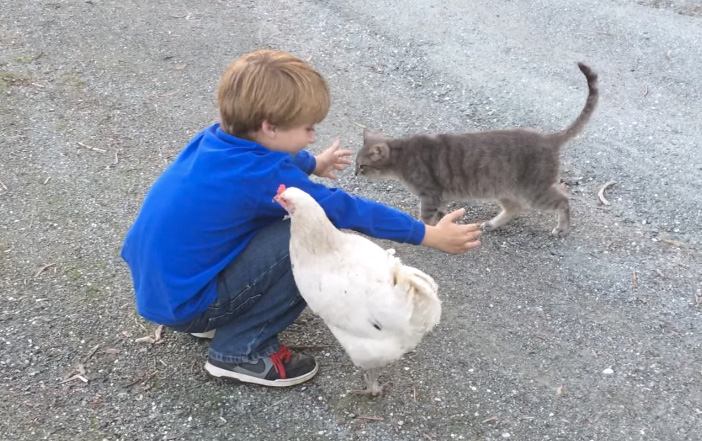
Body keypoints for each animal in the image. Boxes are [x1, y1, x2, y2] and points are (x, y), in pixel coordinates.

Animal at [358, 62, 600, 237]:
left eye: (361, 165)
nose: (354, 173)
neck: (403, 155)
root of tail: (549, 138)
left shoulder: (430, 194)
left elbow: (426, 218)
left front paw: (429, 231)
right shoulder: (439, 197)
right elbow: (440, 214)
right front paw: (442, 222)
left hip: (534, 191)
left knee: (563, 200)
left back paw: (562, 228)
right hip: (505, 189)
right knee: (516, 208)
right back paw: (492, 224)